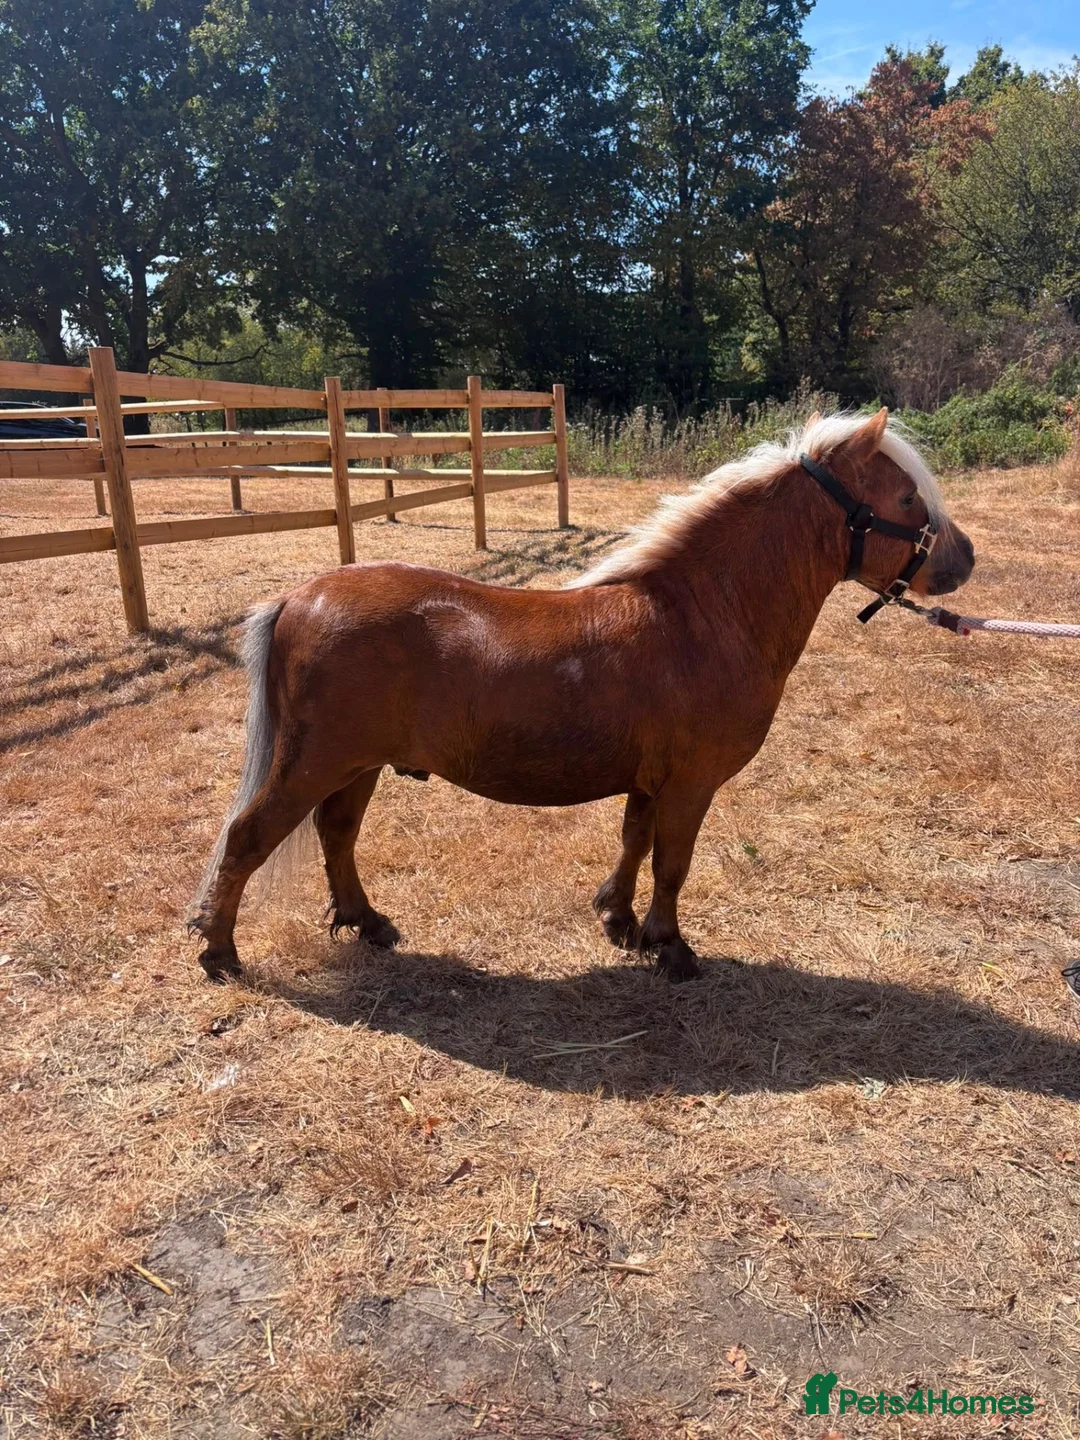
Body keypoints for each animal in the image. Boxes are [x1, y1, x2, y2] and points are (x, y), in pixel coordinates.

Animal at [190, 407, 974, 984]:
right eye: (906, 497)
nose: (964, 560)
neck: (700, 616)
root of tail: (298, 597)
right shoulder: (691, 784)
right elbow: (671, 863)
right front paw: (671, 948)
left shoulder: (650, 779)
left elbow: (634, 843)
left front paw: (620, 922)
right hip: (316, 762)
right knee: (249, 837)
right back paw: (220, 952)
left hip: (356, 765)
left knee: (337, 835)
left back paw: (368, 922)